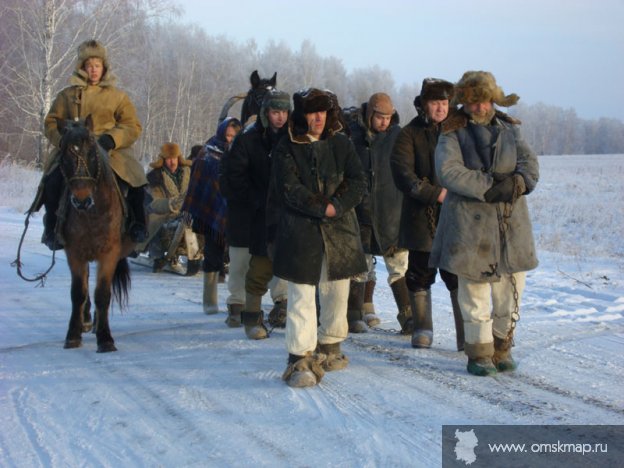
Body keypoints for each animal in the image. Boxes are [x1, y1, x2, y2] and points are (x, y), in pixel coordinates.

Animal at [56, 115, 135, 352]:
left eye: (92, 153)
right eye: (64, 155)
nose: (81, 200)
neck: (92, 214)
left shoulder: (109, 254)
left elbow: (103, 294)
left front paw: (105, 338)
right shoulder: (74, 254)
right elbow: (78, 293)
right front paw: (73, 335)